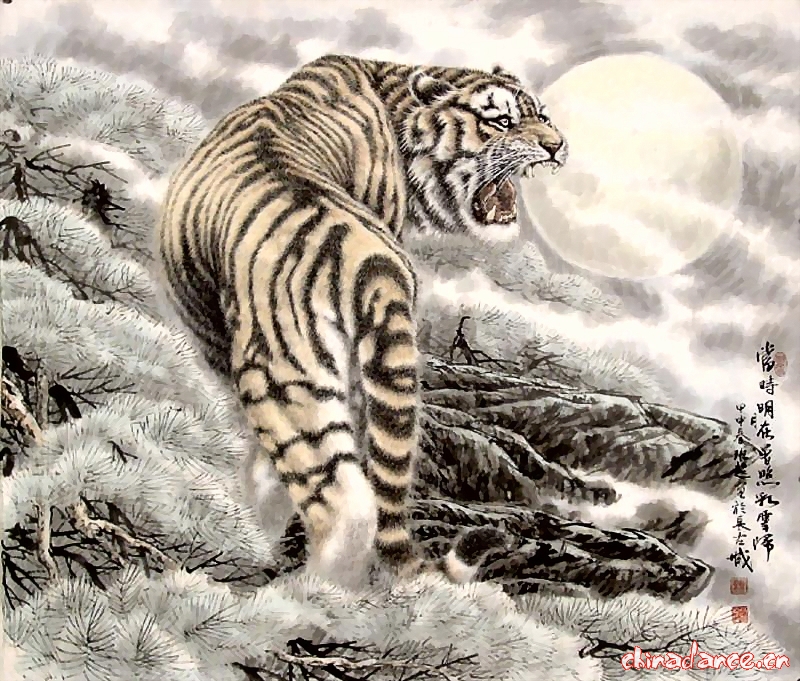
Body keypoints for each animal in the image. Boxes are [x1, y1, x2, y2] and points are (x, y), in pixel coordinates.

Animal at [157, 54, 568, 589]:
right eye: (501, 120)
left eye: (542, 114)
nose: (557, 145)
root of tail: (371, 261)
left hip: (294, 384)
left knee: (343, 506)